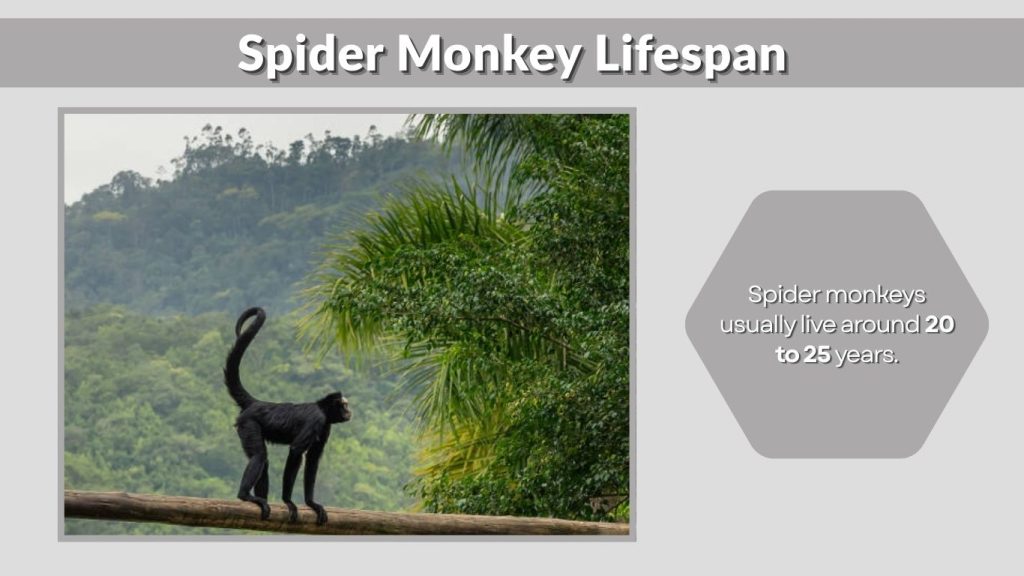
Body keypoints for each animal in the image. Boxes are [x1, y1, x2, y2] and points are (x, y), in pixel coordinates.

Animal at [224, 307, 351, 525]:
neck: (321, 408)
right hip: (248, 423)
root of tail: (257, 403)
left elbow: (313, 460)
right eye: (344, 405)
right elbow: (296, 451)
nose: (349, 411)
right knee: (260, 456)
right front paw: (288, 501)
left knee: (263, 460)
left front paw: (311, 503)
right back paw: (245, 495)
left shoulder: (325, 426)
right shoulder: (317, 420)